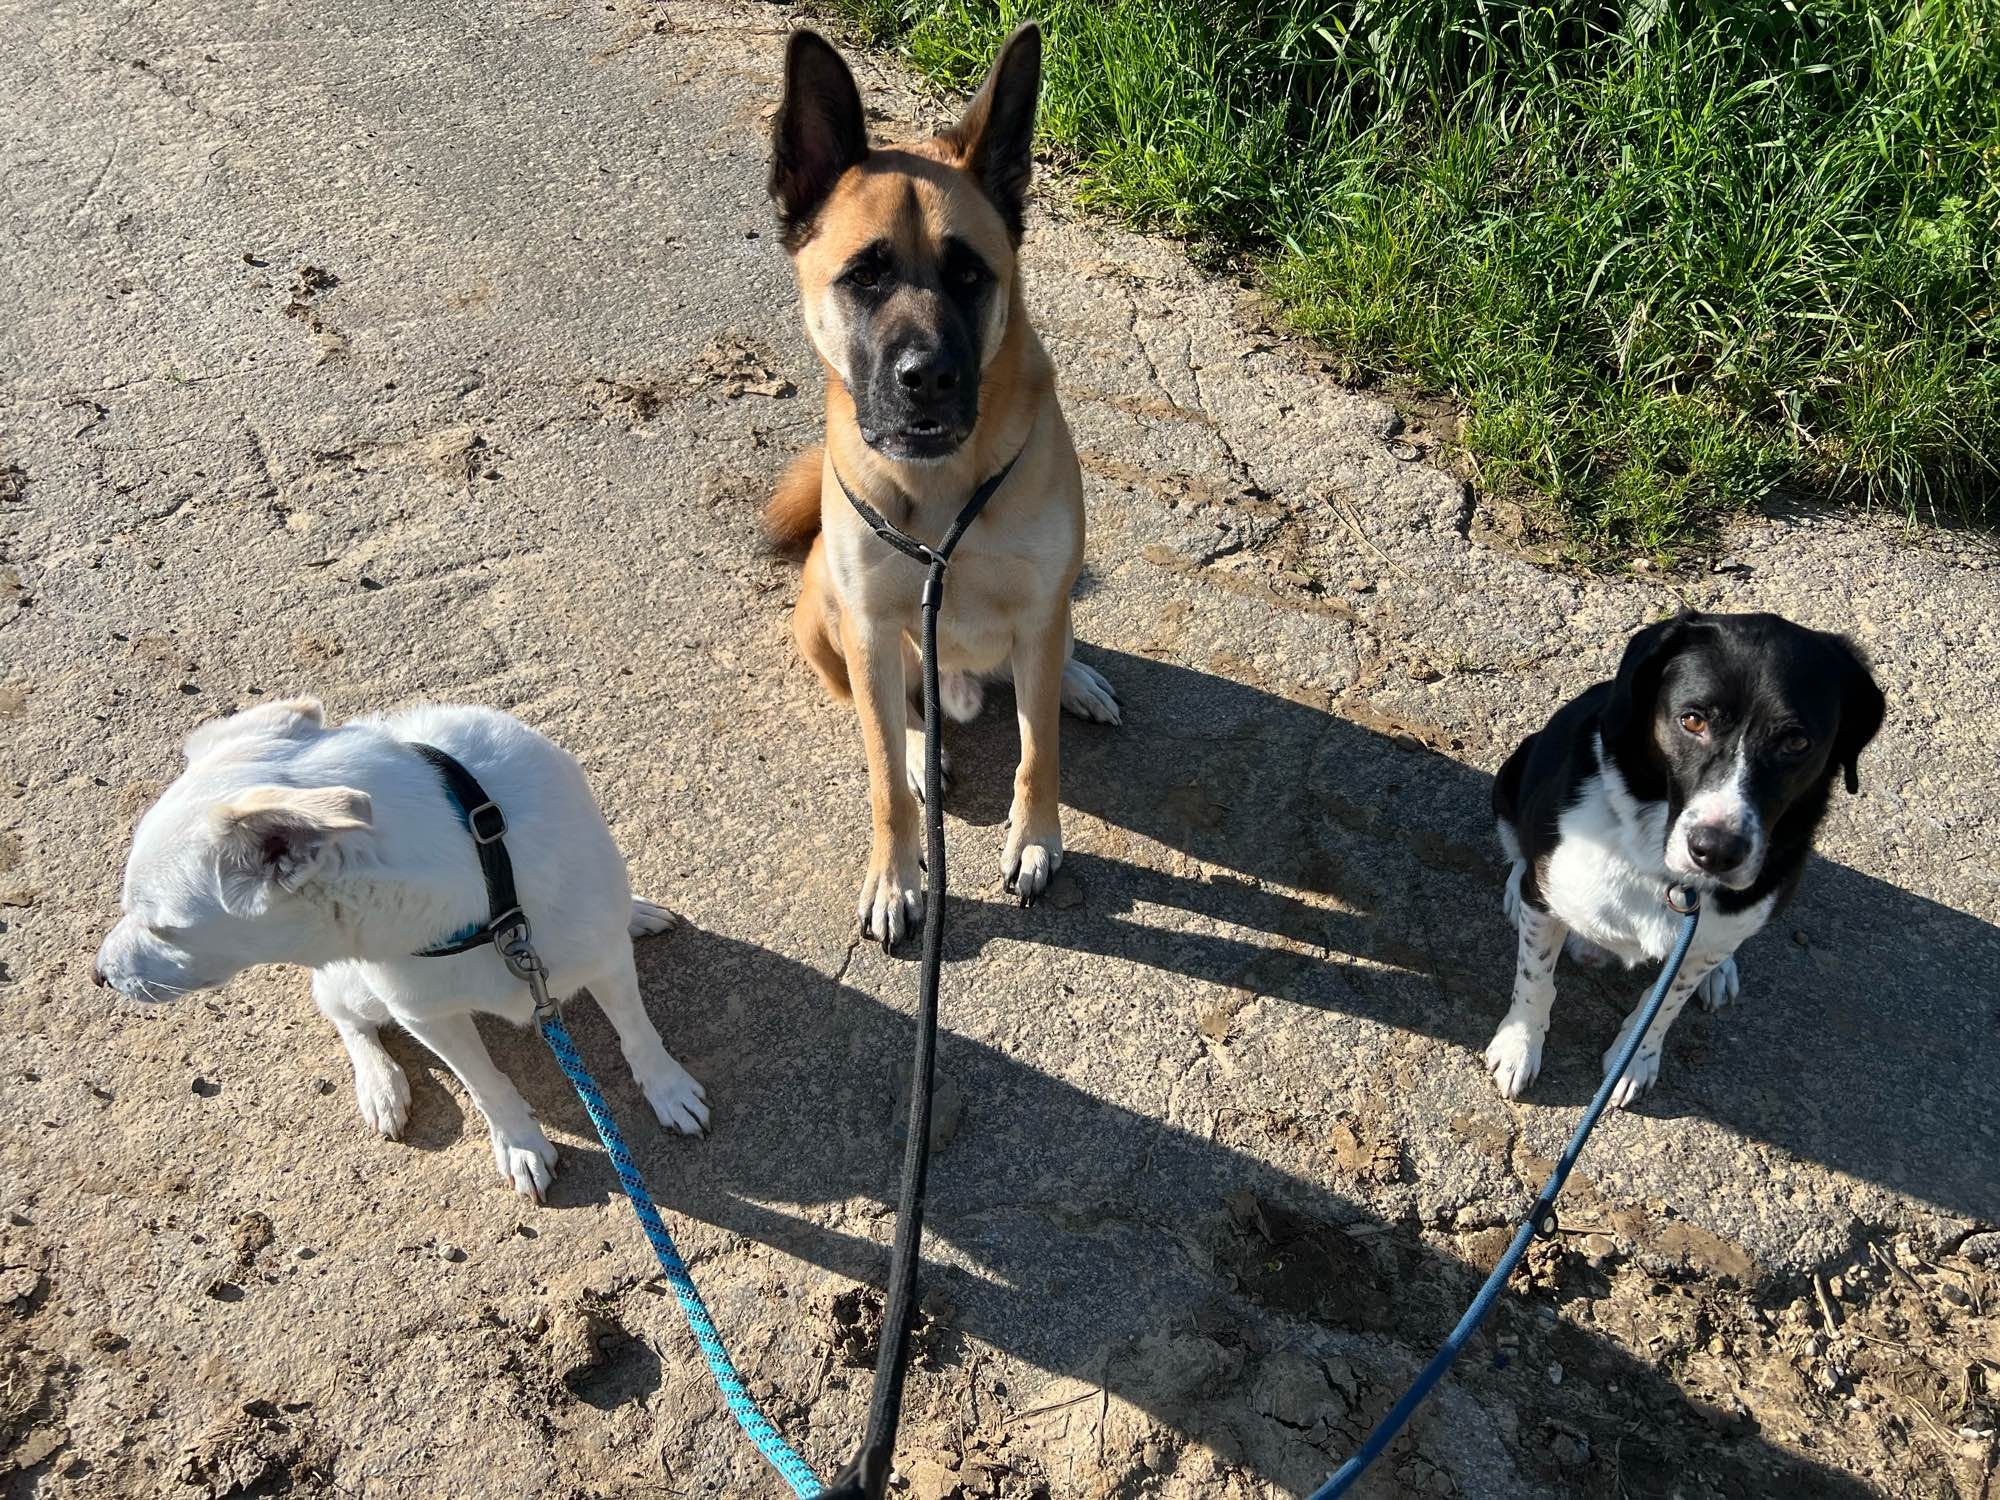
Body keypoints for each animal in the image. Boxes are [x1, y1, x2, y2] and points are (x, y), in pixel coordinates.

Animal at [101, 700, 716, 1208]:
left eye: (162, 928)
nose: (99, 976)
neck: (489, 891)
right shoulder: (427, 1014)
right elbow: (486, 1086)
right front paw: (520, 1145)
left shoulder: (605, 959)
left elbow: (638, 1035)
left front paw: (669, 1091)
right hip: (358, 989)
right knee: (343, 1016)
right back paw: (381, 1087)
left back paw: (637, 912)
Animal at [760, 26, 1120, 952]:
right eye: (865, 275)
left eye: (970, 275)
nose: (928, 378)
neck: (944, 491)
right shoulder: (870, 628)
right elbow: (885, 778)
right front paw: (897, 878)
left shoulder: (1038, 608)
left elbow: (1039, 753)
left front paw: (1035, 841)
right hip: (829, 625)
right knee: (888, 717)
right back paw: (929, 749)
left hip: (1045, 616)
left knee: (1050, 664)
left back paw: (1075, 680)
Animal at [1488, 608, 1888, 1104]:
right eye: (1693, 720)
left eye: (1796, 743)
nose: (1716, 851)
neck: (1669, 879)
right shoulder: (1546, 903)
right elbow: (1536, 980)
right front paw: (1519, 1047)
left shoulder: (1702, 944)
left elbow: (1664, 1005)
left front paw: (1633, 1061)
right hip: (1513, 774)